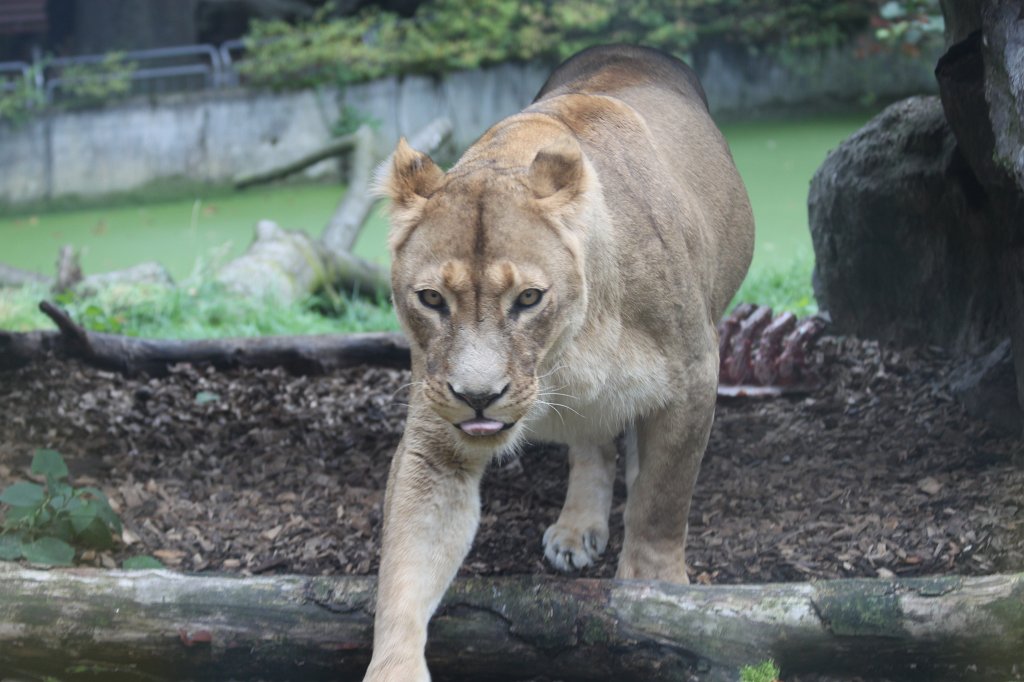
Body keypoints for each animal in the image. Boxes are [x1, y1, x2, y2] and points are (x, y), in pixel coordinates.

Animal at [363, 44, 754, 681]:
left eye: (528, 298)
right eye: (431, 300)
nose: (478, 397)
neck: (565, 353)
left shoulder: (695, 379)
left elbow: (661, 504)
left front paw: (658, 592)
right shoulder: (436, 431)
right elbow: (407, 564)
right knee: (592, 443)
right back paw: (577, 530)